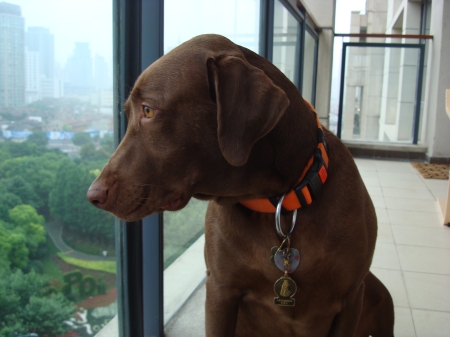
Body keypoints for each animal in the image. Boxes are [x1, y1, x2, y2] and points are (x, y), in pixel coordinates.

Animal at [87, 34, 394, 336]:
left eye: (148, 110)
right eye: (127, 112)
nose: (93, 195)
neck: (278, 204)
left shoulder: (351, 296)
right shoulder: (220, 291)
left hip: (379, 296)